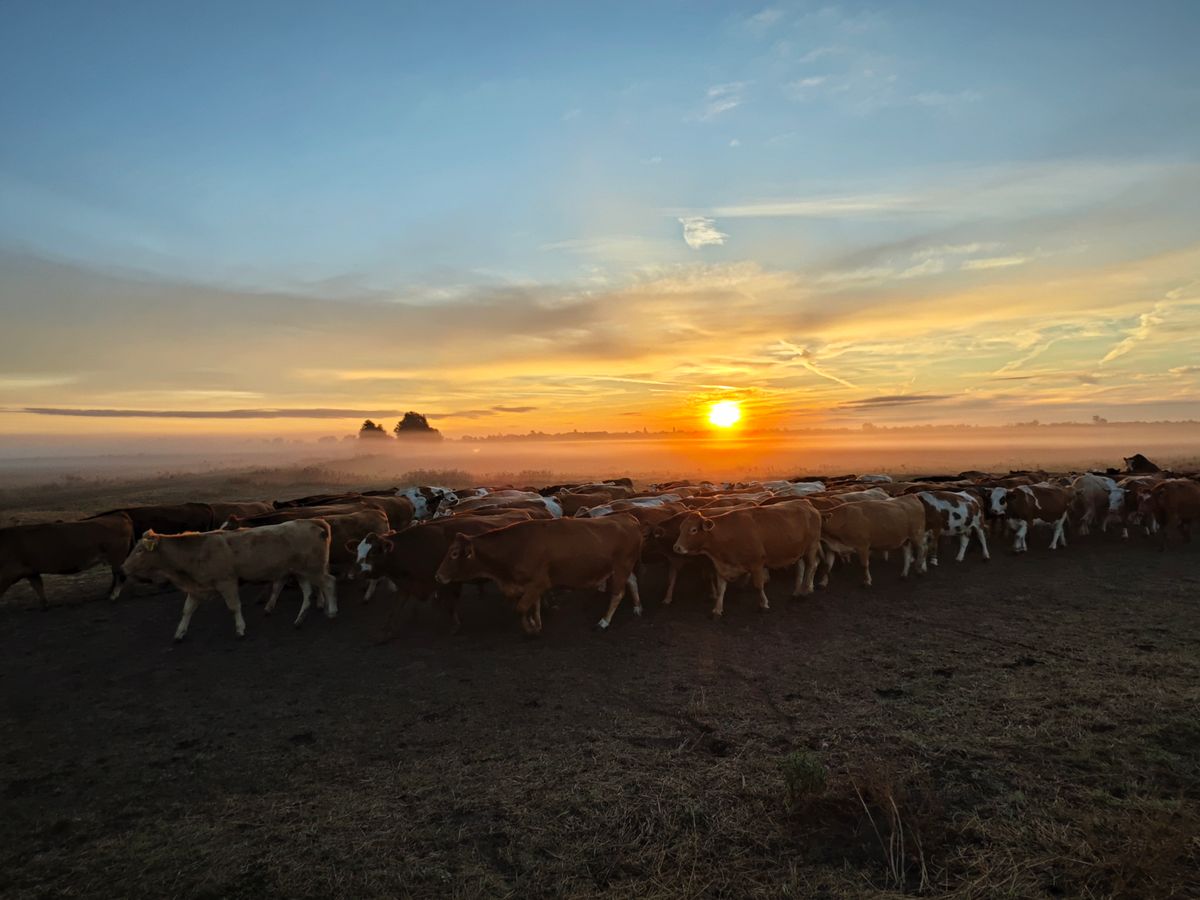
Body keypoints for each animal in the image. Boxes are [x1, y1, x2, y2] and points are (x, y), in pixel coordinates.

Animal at [123, 520, 338, 643]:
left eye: (140, 550)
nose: (123, 568)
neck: (196, 551)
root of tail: (314, 523)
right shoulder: (197, 588)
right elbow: (187, 610)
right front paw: (179, 633)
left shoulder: (226, 582)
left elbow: (234, 607)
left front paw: (240, 629)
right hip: (300, 571)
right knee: (308, 593)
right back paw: (300, 619)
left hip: (314, 568)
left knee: (328, 582)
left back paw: (332, 612)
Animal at [434, 518, 643, 638]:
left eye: (454, 553)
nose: (438, 576)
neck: (514, 547)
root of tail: (630, 522)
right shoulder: (529, 586)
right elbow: (532, 606)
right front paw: (536, 622)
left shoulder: (539, 582)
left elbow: (520, 608)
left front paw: (531, 629)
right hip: (623, 567)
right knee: (632, 581)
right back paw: (637, 607)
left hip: (621, 566)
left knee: (618, 593)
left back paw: (604, 622)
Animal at [672, 501, 820, 619]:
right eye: (681, 528)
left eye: (693, 530)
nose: (677, 547)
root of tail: (806, 503)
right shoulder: (722, 567)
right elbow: (721, 589)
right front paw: (717, 610)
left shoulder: (757, 564)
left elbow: (758, 586)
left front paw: (763, 605)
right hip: (798, 552)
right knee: (801, 568)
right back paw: (797, 592)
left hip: (811, 547)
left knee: (812, 565)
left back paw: (805, 591)